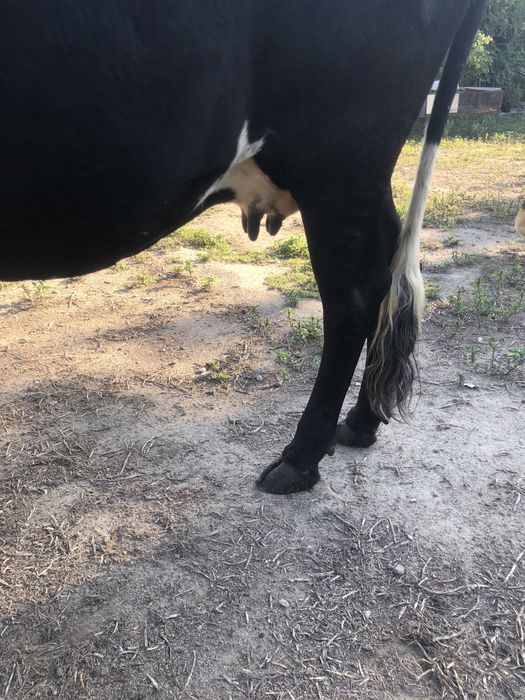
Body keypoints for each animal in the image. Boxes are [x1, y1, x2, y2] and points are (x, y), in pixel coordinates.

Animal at [0, 1, 486, 494]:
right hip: (357, 174)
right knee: (388, 263)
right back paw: (361, 422)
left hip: (340, 156)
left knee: (353, 297)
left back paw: (299, 459)